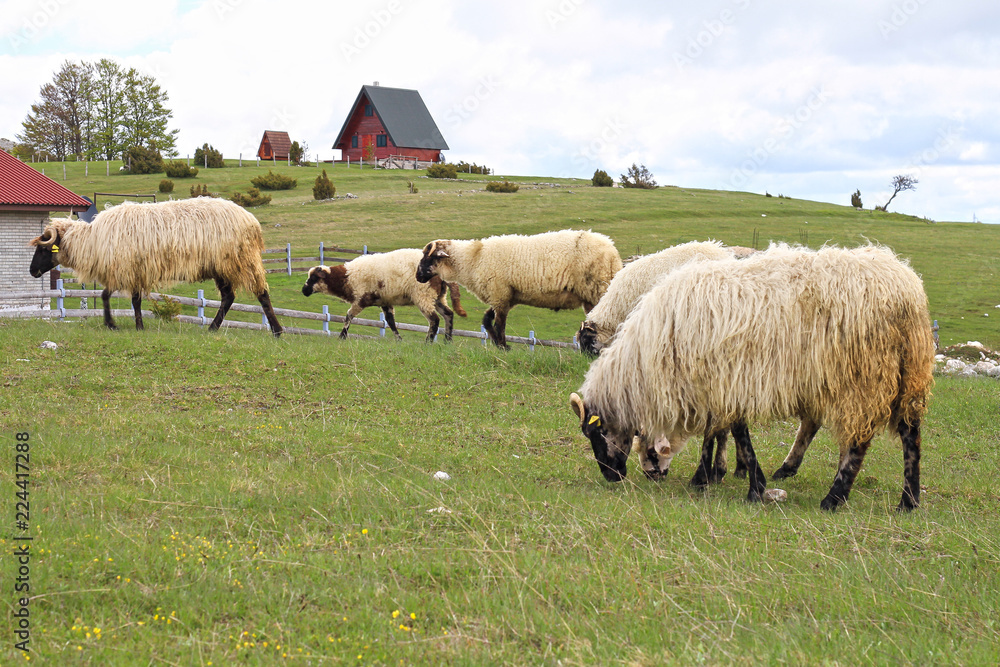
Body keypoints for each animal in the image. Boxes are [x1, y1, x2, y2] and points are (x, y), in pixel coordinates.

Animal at [28, 197, 282, 335]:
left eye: (43, 249)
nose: (32, 271)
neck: (91, 241)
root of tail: (252, 221)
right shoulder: (133, 270)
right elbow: (131, 300)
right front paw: (137, 325)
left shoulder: (124, 268)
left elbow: (107, 296)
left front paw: (112, 324)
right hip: (222, 266)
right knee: (229, 297)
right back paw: (213, 328)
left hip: (239, 260)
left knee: (261, 293)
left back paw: (278, 330)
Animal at [301, 248, 466, 341]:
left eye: (314, 278)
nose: (304, 290)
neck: (347, 277)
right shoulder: (385, 301)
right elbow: (390, 322)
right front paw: (399, 339)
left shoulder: (361, 299)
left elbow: (348, 316)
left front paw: (342, 337)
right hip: (438, 297)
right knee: (448, 315)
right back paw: (447, 341)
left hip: (423, 295)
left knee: (434, 320)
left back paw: (428, 342)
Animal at [415, 229, 623, 349]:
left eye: (428, 256)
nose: (417, 277)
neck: (474, 258)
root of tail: (613, 252)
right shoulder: (505, 296)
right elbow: (487, 320)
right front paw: (497, 344)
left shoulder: (499, 293)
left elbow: (500, 324)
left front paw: (503, 346)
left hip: (597, 289)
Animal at [570, 243, 935, 512]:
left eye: (595, 433)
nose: (612, 477)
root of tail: (906, 288)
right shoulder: (718, 385)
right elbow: (719, 432)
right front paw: (710, 476)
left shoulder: (725, 381)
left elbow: (735, 434)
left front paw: (748, 486)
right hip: (904, 374)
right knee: (909, 433)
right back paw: (908, 500)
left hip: (863, 376)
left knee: (860, 439)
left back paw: (835, 497)